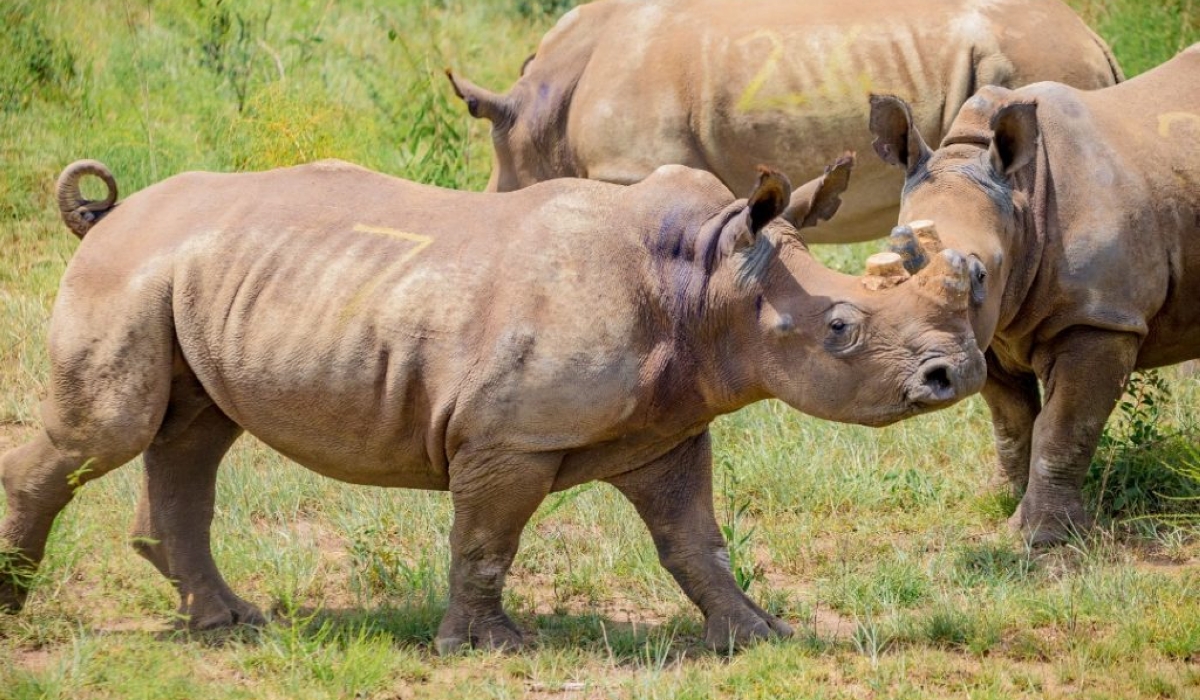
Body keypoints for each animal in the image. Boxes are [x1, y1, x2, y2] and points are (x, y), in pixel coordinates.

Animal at [1, 155, 985, 652]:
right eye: (842, 328)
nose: (958, 374)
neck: (709, 281)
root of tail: (110, 217)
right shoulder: (509, 433)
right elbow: (487, 539)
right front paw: (488, 647)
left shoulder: (670, 428)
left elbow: (694, 540)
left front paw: (757, 636)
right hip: (128, 271)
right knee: (110, 432)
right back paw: (19, 605)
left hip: (195, 275)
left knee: (195, 434)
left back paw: (230, 625)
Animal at [868, 44, 1200, 545]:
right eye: (886, 269)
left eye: (981, 275)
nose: (929, 376)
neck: (1021, 202)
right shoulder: (988, 333)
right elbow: (1012, 422)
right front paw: (999, 499)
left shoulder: (1099, 318)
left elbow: (1064, 429)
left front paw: (1040, 537)